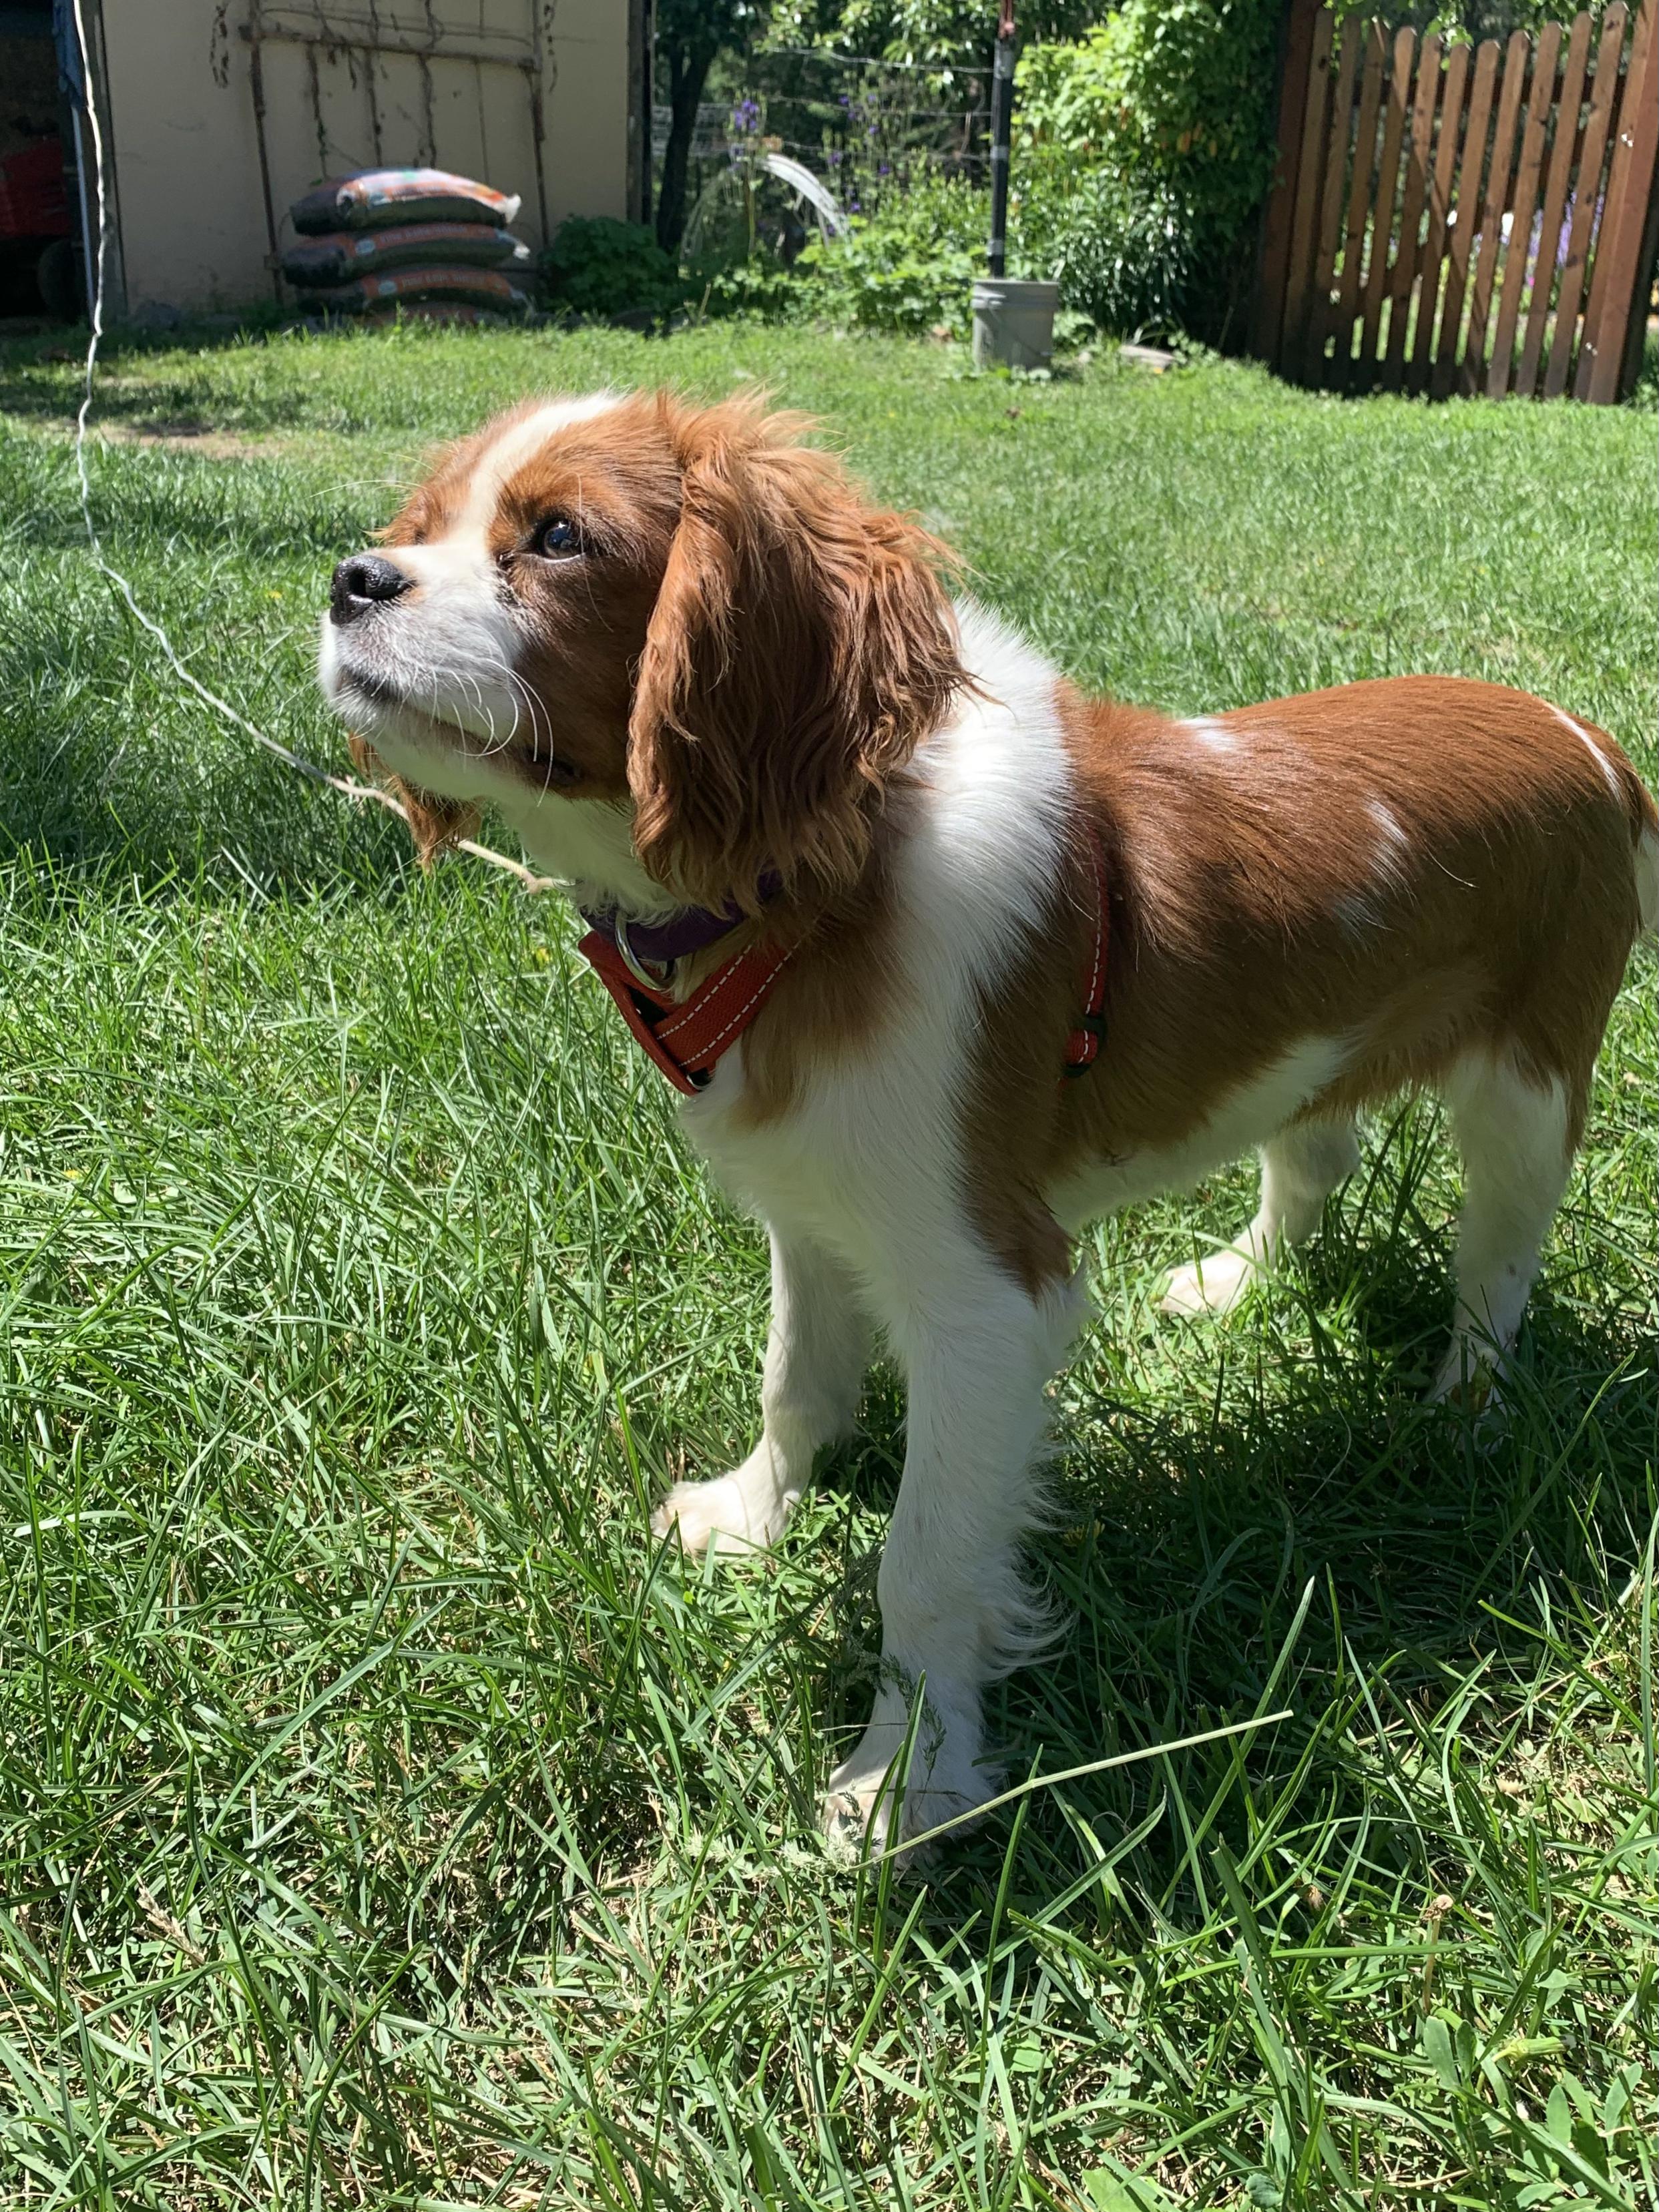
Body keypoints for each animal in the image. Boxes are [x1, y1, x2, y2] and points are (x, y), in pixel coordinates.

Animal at [319, 389, 1658, 1849]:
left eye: (559, 538)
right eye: (423, 524)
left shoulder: (984, 1296)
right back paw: (1243, 1286)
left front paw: (903, 1782)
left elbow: (925, 1561)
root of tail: (1587, 735)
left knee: (1498, 1257)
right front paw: (751, 1513)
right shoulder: (815, 1205)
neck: (819, 884)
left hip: (1530, 1081)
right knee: (1315, 1147)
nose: (353, 579)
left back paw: (1464, 1404)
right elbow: (798, 1376)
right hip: (1314, 1044)